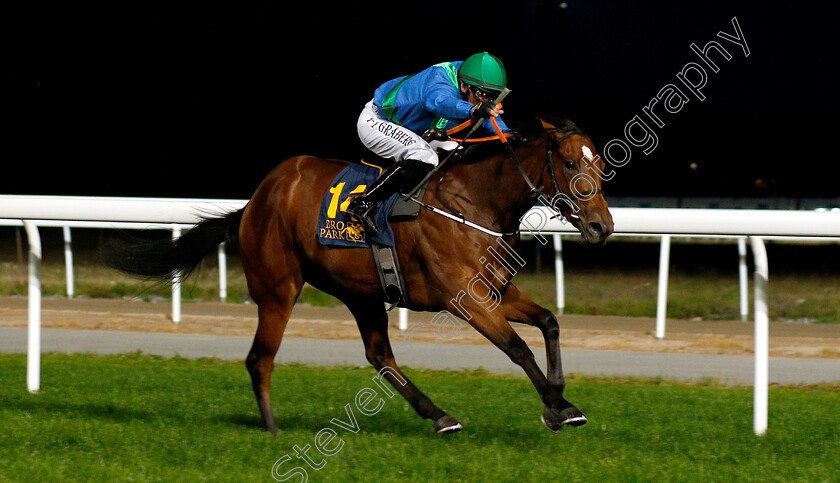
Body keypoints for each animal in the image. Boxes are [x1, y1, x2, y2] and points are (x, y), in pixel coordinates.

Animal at [106, 116, 616, 434]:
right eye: (570, 163)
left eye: (600, 164)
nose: (602, 226)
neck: (472, 203)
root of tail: (254, 201)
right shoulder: (464, 300)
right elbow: (517, 348)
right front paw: (560, 406)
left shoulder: (496, 292)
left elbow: (549, 321)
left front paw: (558, 401)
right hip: (278, 289)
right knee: (259, 359)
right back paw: (271, 429)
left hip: (361, 292)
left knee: (379, 356)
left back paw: (439, 415)